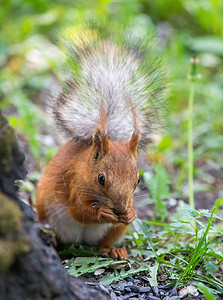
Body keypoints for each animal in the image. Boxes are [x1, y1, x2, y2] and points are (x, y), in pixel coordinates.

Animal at [35, 31, 167, 258]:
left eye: (138, 179)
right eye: (101, 179)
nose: (120, 209)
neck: (86, 167)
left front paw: (131, 213)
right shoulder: (73, 182)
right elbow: (79, 211)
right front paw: (102, 212)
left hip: (115, 231)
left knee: (103, 244)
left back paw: (114, 250)